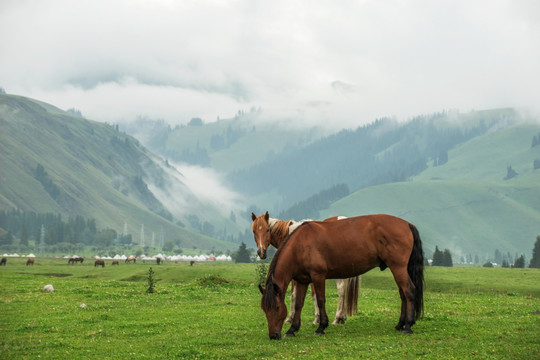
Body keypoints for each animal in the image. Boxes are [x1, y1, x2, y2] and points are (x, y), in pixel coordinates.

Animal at [260, 215, 424, 338]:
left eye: (277, 307)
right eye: (264, 310)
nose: (273, 335)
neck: (300, 244)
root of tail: (407, 224)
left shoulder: (318, 276)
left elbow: (320, 301)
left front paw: (321, 327)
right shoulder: (302, 281)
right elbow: (298, 304)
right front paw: (292, 329)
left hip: (398, 268)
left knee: (409, 291)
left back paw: (408, 325)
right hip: (398, 269)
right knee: (403, 294)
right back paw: (400, 324)